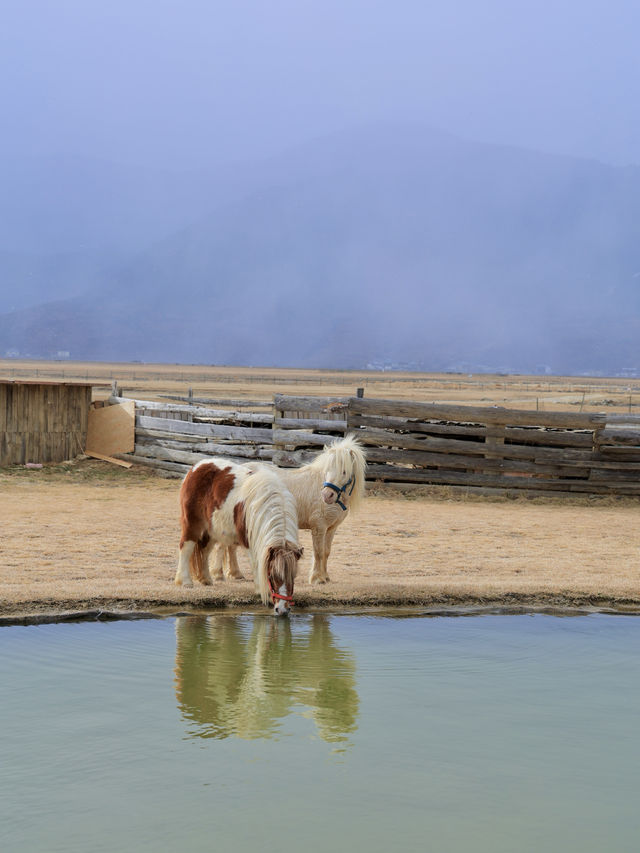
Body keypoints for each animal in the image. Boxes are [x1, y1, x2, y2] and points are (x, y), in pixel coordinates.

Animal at [176, 460, 304, 612]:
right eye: (272, 575)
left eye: (293, 575)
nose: (283, 609)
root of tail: (196, 467)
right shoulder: (250, 542)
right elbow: (257, 563)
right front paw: (262, 591)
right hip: (192, 524)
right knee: (185, 548)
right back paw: (185, 582)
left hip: (212, 530)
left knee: (205, 552)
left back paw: (206, 579)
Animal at [215, 436, 364, 584]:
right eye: (327, 470)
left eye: (344, 471)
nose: (327, 495)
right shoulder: (319, 526)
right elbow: (319, 552)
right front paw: (317, 578)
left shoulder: (331, 528)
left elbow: (327, 552)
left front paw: (326, 577)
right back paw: (220, 575)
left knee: (231, 546)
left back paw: (235, 574)